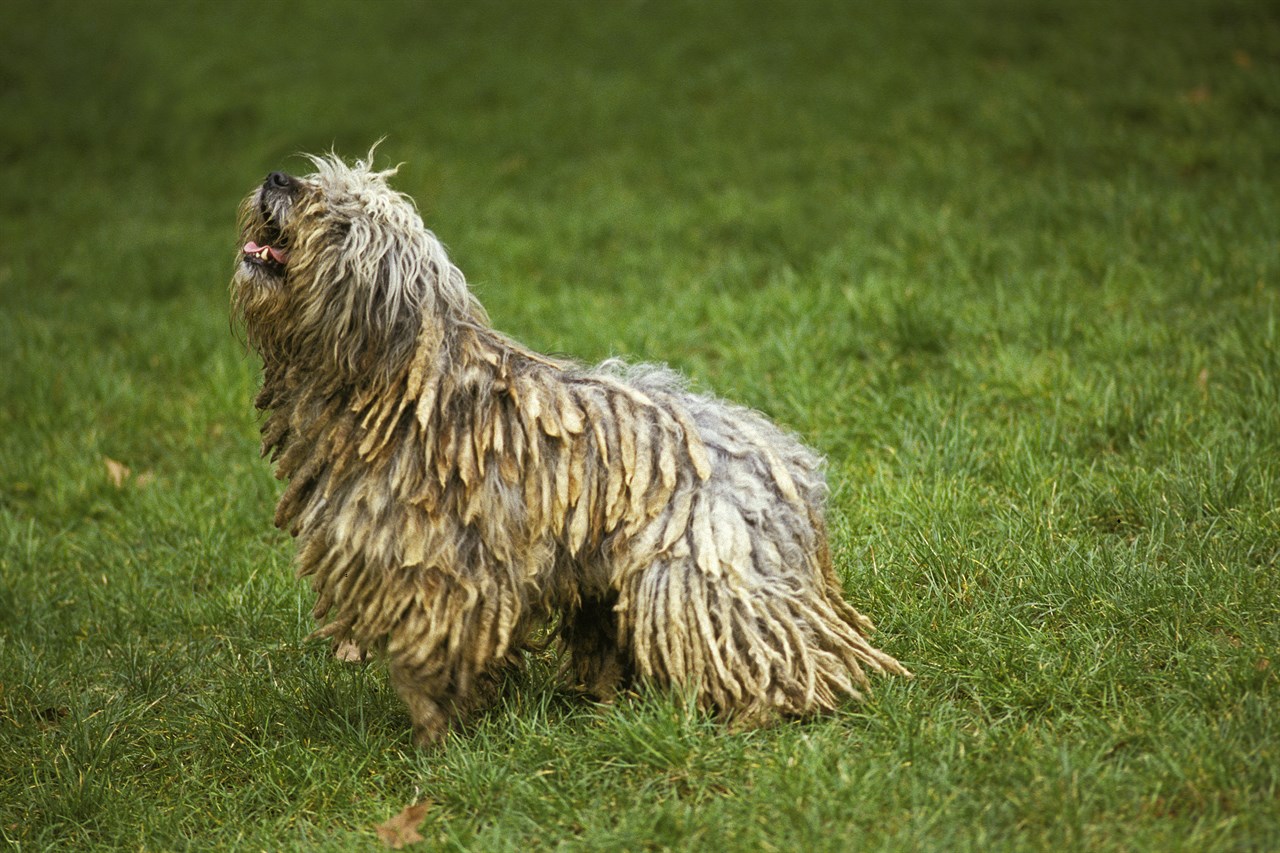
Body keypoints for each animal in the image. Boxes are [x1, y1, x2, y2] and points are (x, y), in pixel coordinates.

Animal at [230, 153, 911, 742]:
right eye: (319, 182)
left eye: (339, 216)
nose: (277, 178)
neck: (400, 388)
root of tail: (791, 470)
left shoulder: (442, 570)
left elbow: (432, 658)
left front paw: (433, 738)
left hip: (696, 576)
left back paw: (767, 709)